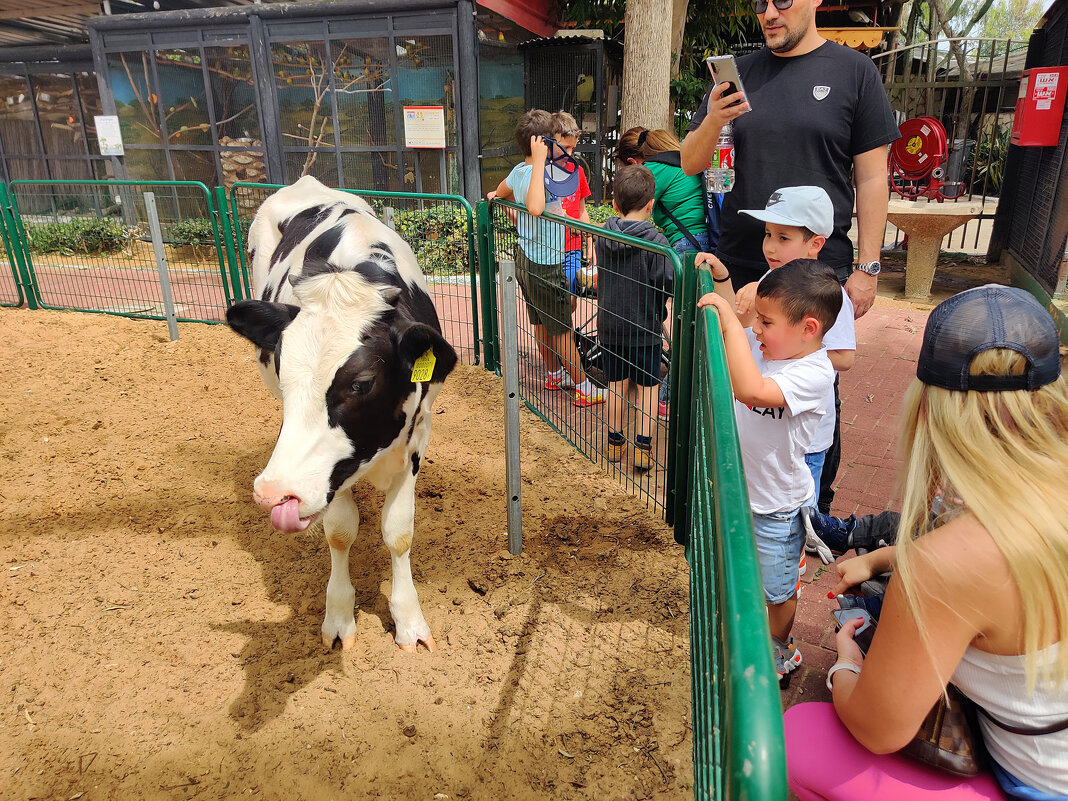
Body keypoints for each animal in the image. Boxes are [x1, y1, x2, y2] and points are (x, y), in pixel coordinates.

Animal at [229, 175, 454, 653]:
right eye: (283, 367)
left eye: (362, 383)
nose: (275, 492)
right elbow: (340, 530)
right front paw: (338, 616)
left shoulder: (419, 433)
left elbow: (399, 531)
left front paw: (409, 622)